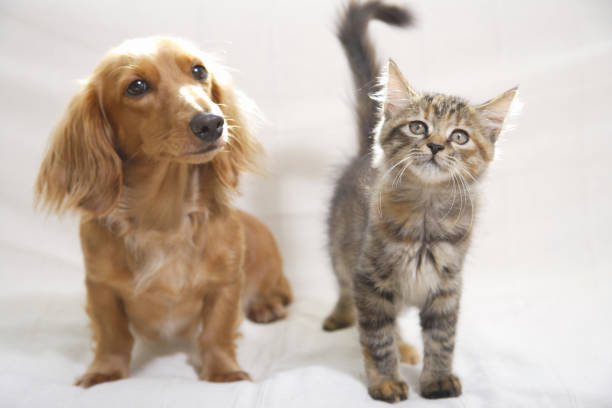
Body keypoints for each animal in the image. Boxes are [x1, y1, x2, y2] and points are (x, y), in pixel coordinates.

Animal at [322, 0, 520, 404]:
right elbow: (377, 337)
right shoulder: (370, 279)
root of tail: (362, 155)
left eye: (459, 137)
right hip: (341, 245)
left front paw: (436, 380)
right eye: (418, 127)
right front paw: (385, 382)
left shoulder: (447, 286)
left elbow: (442, 338)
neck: (426, 216)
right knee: (343, 284)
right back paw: (343, 317)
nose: (436, 146)